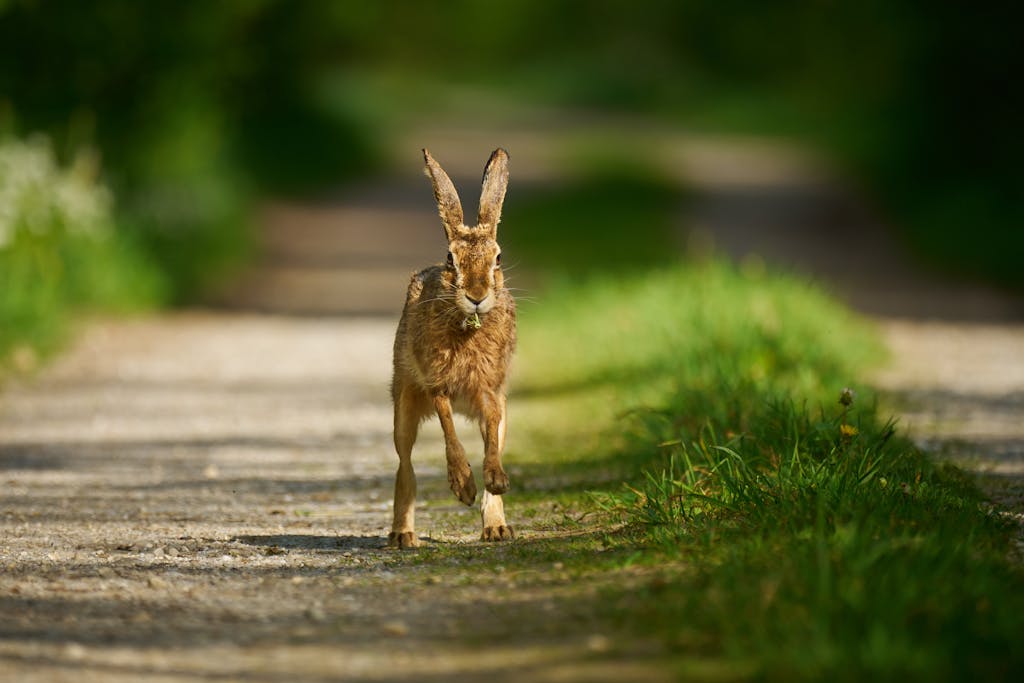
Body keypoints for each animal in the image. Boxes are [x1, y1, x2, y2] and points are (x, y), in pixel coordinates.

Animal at [388, 148, 516, 549]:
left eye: (498, 258)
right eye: (450, 259)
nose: (476, 296)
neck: (467, 326)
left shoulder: (491, 391)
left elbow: (491, 431)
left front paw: (495, 479)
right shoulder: (438, 385)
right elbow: (447, 424)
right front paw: (462, 486)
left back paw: (497, 527)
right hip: (404, 404)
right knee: (405, 464)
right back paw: (402, 535)